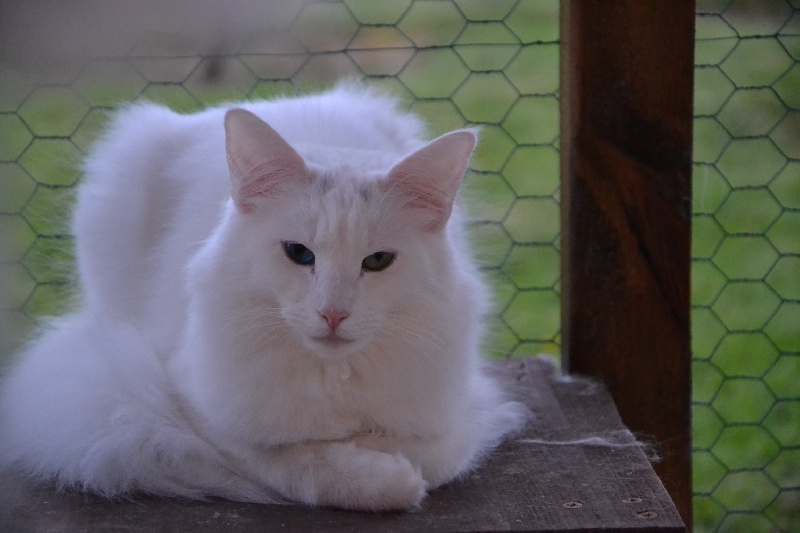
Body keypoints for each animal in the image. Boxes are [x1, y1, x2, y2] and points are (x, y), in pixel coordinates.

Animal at [0, 84, 528, 512]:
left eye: (378, 261)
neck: (333, 377)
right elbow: (301, 465)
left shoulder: (457, 414)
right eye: (298, 253)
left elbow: (427, 456)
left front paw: (383, 456)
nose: (333, 314)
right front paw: (382, 476)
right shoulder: (196, 410)